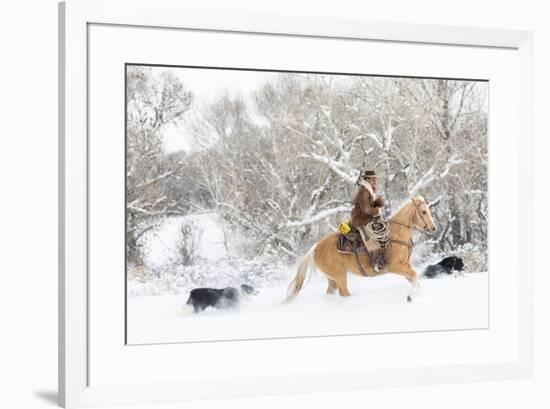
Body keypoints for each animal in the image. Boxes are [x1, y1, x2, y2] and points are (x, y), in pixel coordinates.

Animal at [286, 196, 438, 302]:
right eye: (424, 212)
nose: (433, 228)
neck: (395, 234)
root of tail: (315, 247)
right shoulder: (395, 266)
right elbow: (414, 276)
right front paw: (411, 296)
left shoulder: (405, 266)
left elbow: (414, 279)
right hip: (340, 275)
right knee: (344, 293)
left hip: (332, 279)